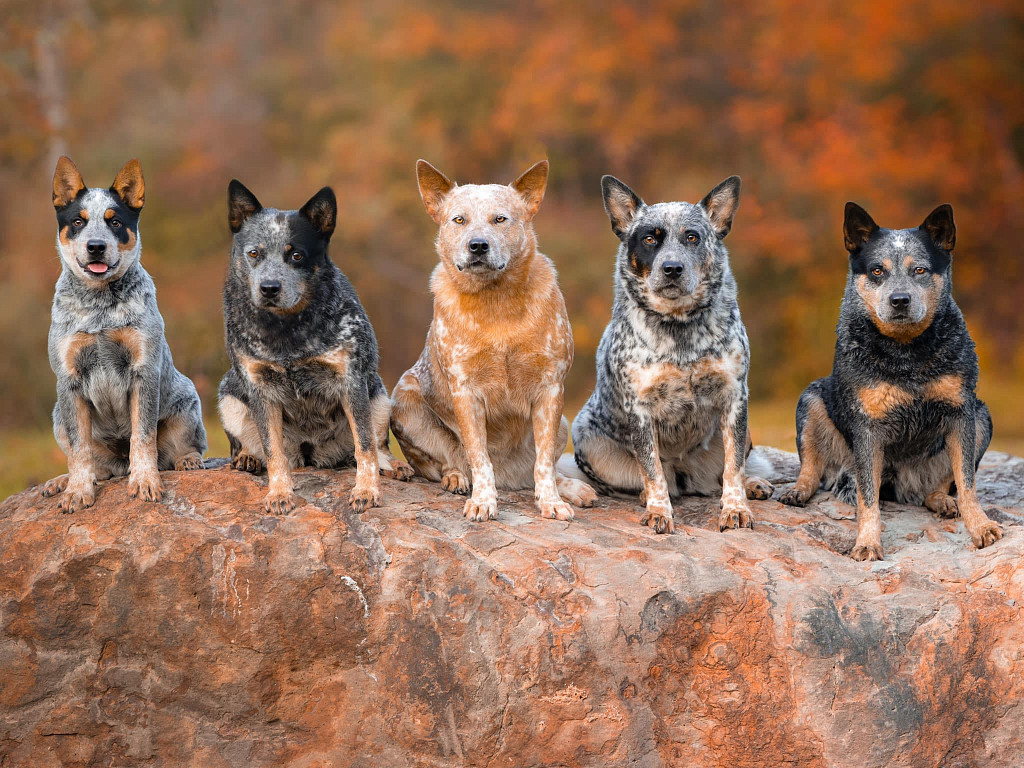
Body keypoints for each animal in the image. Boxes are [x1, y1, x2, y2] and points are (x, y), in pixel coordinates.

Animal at [42, 155, 205, 512]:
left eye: (115, 222)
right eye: (78, 221)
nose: (96, 246)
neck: (99, 307)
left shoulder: (143, 371)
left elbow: (143, 438)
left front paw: (145, 482)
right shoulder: (68, 380)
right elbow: (79, 450)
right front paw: (77, 491)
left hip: (187, 403)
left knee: (179, 450)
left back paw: (188, 460)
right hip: (58, 415)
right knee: (96, 465)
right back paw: (61, 482)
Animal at [391, 159, 598, 528]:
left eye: (500, 219)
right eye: (459, 219)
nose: (478, 245)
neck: (496, 304)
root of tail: (510, 478)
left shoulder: (551, 388)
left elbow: (544, 463)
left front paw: (552, 502)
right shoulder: (466, 391)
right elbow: (479, 457)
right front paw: (482, 502)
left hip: (564, 422)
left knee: (540, 468)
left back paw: (572, 489)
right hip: (403, 397)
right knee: (443, 462)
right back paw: (456, 478)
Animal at [569, 174, 774, 536]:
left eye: (692, 237)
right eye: (650, 238)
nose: (672, 268)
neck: (680, 331)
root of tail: (686, 473)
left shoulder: (735, 398)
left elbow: (733, 465)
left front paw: (736, 508)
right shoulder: (640, 408)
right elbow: (651, 470)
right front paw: (658, 511)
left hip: (746, 431)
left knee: (720, 477)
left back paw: (753, 484)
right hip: (586, 439)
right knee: (649, 478)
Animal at [778, 201, 995, 561]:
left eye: (920, 270)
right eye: (877, 270)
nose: (900, 300)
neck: (906, 355)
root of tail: (901, 483)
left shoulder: (961, 412)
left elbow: (966, 482)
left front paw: (980, 526)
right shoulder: (867, 428)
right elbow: (868, 499)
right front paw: (867, 543)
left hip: (983, 416)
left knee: (937, 486)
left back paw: (942, 500)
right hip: (811, 398)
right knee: (813, 467)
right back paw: (797, 492)